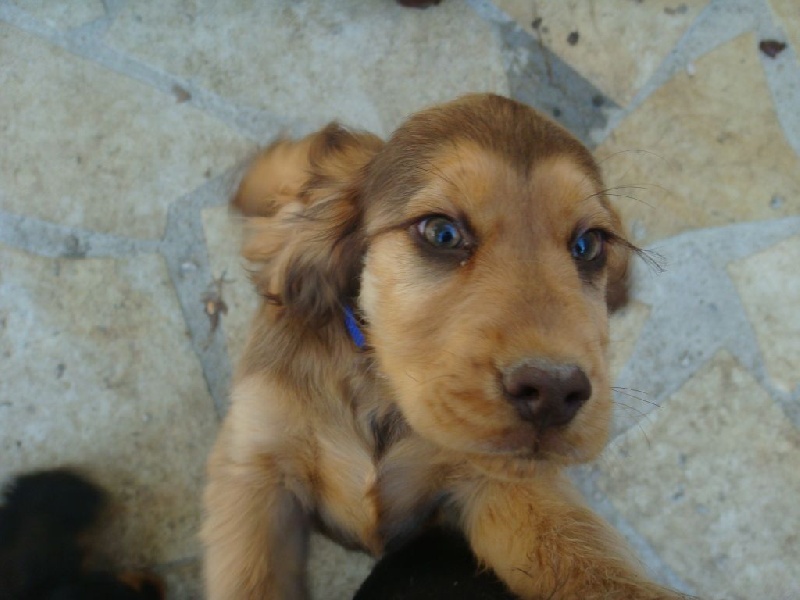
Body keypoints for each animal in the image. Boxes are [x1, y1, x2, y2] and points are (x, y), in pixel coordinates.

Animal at [203, 95, 684, 600]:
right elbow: (250, 579)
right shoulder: (255, 470)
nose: (554, 392)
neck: (381, 392)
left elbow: (588, 561)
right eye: (442, 233)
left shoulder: (499, 482)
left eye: (588, 245)